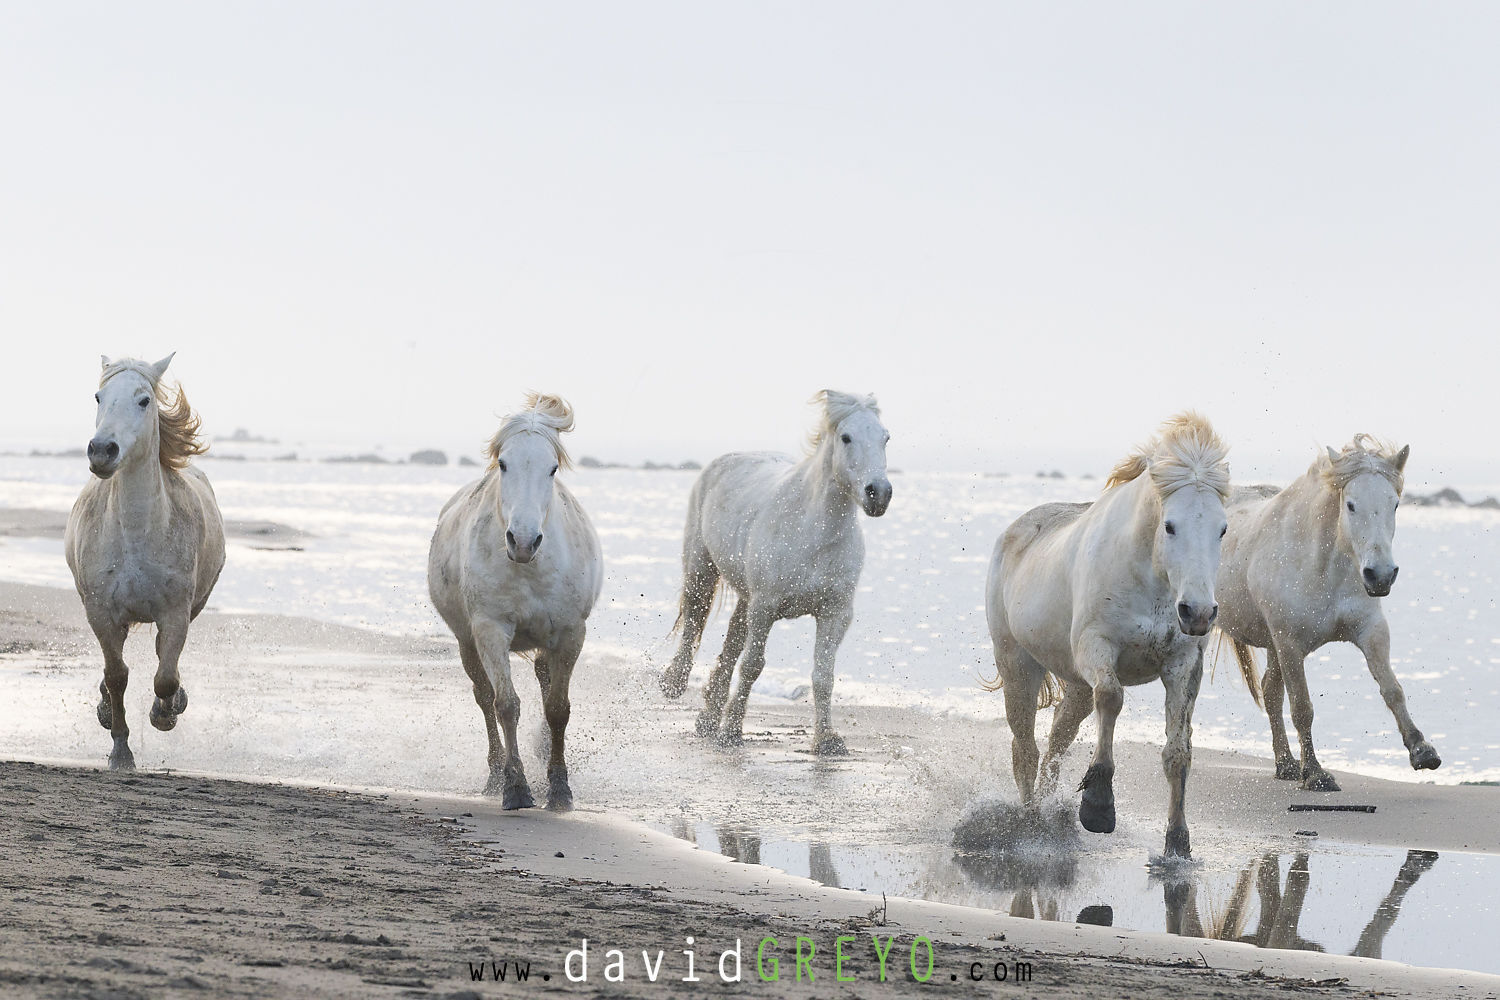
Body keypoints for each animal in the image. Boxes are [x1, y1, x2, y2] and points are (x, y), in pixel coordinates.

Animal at [64, 354, 225, 770]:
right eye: (99, 396)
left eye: (143, 400)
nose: (102, 450)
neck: (136, 534)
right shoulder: (102, 612)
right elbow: (117, 675)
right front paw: (120, 749)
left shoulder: (175, 612)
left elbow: (165, 677)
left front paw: (165, 714)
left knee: (162, 657)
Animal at [428, 393, 603, 810]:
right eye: (504, 463)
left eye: (552, 468)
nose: (523, 541)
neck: (529, 568)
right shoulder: (490, 629)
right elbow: (505, 703)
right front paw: (516, 786)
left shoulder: (571, 633)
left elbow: (557, 709)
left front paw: (559, 788)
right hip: (467, 642)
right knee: (484, 695)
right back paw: (495, 774)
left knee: (543, 678)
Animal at [658, 390, 892, 754]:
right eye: (846, 437)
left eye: (885, 437)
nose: (878, 493)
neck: (812, 531)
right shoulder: (765, 607)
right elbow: (753, 665)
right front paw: (732, 731)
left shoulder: (835, 613)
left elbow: (823, 676)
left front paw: (827, 739)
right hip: (702, 568)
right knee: (695, 618)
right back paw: (676, 683)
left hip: (745, 596)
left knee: (733, 639)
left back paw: (708, 717)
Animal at [982, 413, 1244, 858]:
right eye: (1170, 526)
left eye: (1222, 529)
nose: (1198, 612)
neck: (1150, 577)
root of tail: (1012, 533)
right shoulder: (1098, 647)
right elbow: (1111, 697)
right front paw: (1099, 806)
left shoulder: (1182, 665)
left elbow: (1178, 751)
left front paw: (1178, 842)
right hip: (1018, 665)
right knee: (1026, 749)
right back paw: (1031, 824)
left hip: (1074, 684)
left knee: (1057, 742)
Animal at [1216, 435, 1439, 791]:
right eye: (1350, 505)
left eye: (1394, 504)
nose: (1380, 575)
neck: (1322, 566)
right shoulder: (1290, 644)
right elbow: (1302, 708)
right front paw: (1316, 773)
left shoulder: (1371, 631)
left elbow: (1393, 690)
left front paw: (1421, 750)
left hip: (1274, 645)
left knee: (1270, 692)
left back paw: (1285, 764)